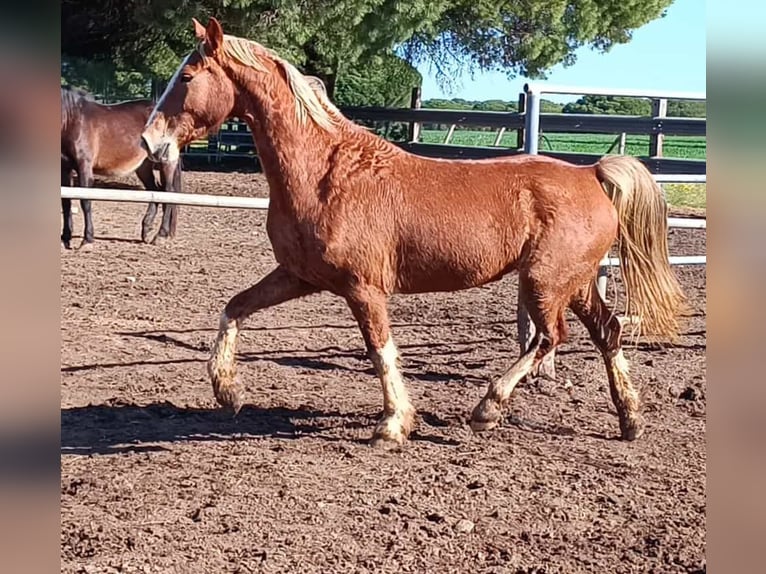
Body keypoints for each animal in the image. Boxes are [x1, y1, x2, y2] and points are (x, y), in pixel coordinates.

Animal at [60, 86, 184, 249]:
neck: (72, 120)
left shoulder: (84, 167)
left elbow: (85, 202)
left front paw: (87, 240)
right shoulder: (64, 169)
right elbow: (66, 202)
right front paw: (65, 237)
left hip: (166, 163)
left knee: (168, 192)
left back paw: (161, 235)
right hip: (144, 167)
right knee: (155, 190)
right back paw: (146, 229)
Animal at [141, 16, 688, 450]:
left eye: (186, 76)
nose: (150, 142)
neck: (325, 172)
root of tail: (590, 173)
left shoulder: (363, 288)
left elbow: (380, 350)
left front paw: (393, 426)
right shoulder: (299, 276)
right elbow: (234, 308)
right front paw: (227, 392)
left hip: (544, 282)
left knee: (551, 338)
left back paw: (487, 409)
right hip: (573, 283)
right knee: (607, 331)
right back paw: (630, 421)